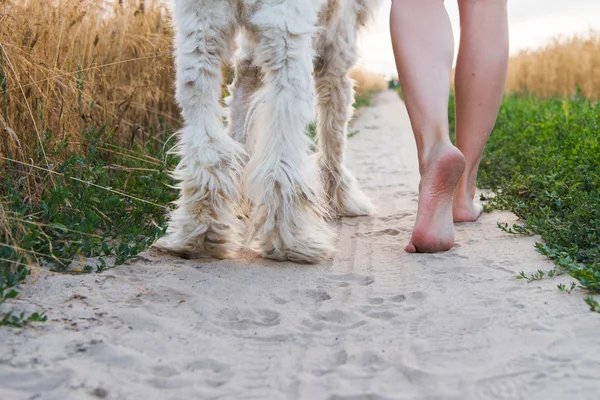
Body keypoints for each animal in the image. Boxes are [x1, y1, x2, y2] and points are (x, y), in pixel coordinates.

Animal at [155, 0, 380, 264]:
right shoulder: (338, 45)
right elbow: (334, 128)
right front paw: (341, 196)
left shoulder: (247, 56)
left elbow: (241, 106)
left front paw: (241, 202)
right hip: (285, 31)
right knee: (284, 128)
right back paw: (288, 238)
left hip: (200, 29)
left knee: (205, 128)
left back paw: (200, 233)